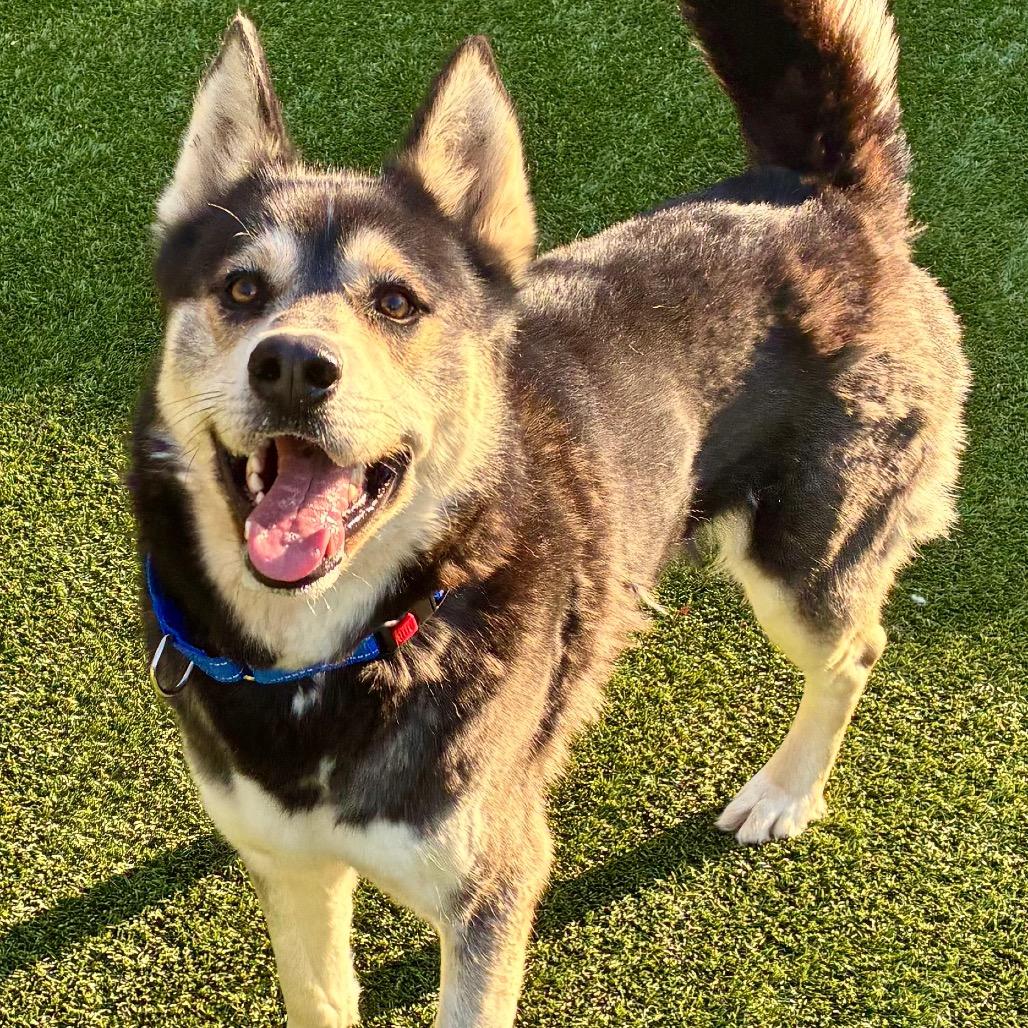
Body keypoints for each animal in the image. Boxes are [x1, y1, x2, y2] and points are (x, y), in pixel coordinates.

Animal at [132, 0, 969, 1023]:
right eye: (242, 289)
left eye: (397, 303)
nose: (291, 365)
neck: (335, 654)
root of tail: (824, 195)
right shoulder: (292, 869)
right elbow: (319, 995)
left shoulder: (494, 885)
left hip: (802, 559)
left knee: (856, 649)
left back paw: (783, 791)